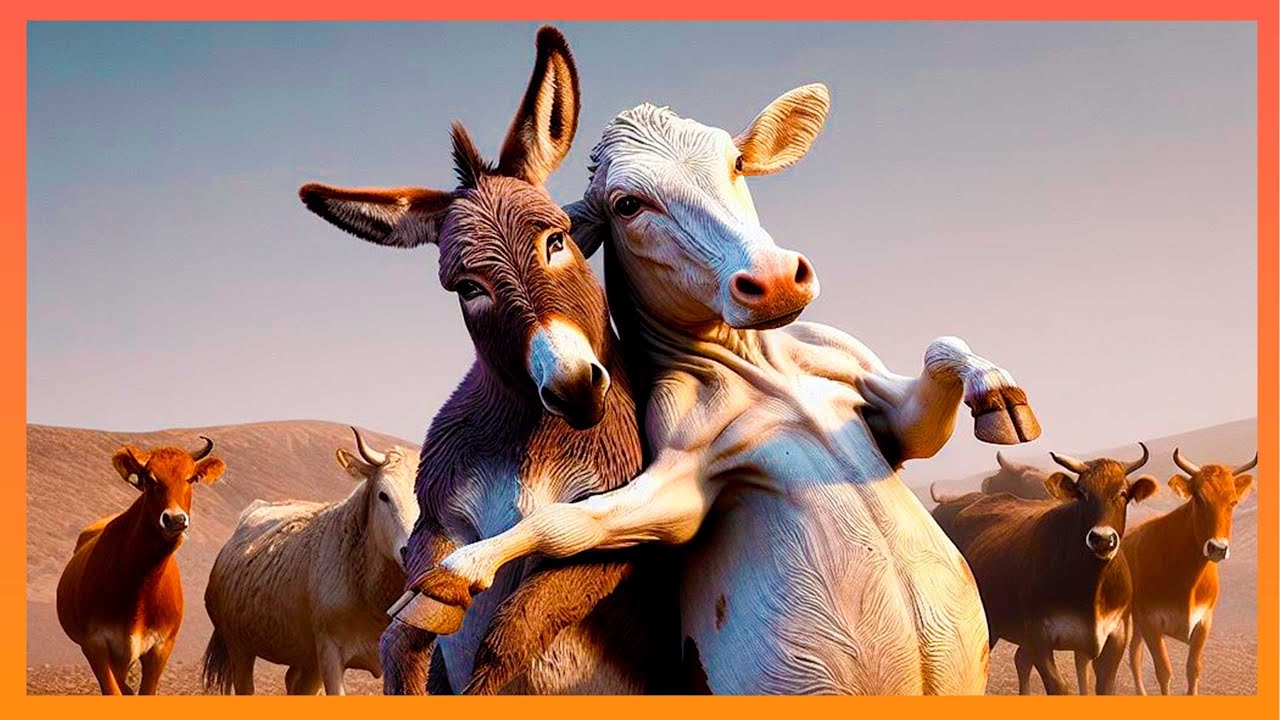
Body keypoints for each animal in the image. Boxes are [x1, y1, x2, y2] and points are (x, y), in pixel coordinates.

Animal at [298, 27, 678, 695]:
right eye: (467, 287)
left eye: (557, 240)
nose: (575, 387)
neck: (533, 436)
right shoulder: (438, 523)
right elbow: (403, 635)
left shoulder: (616, 534)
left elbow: (510, 635)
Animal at [399, 88, 1045, 694]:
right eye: (627, 205)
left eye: (735, 162)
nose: (776, 280)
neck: (765, 372)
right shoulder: (677, 485)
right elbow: (568, 522)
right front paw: (456, 571)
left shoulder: (890, 417)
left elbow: (940, 350)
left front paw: (997, 393)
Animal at [930, 445, 1157, 695]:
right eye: (1082, 493)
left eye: (1123, 493)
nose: (1102, 540)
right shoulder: (1037, 639)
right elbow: (1059, 687)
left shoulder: (1114, 638)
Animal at [1120, 448, 1256, 695]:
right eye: (1199, 498)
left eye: (1233, 502)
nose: (1218, 548)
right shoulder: (1151, 622)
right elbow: (1163, 671)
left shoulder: (1204, 621)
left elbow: (1193, 669)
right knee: (1133, 654)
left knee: (1135, 651)